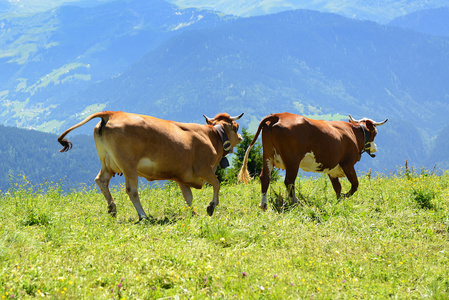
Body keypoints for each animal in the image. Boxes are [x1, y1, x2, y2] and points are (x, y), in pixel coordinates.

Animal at [58, 110, 245, 220]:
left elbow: (188, 197)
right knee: (131, 190)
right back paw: (142, 215)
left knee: (101, 181)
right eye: (236, 127)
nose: (241, 137)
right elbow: (217, 184)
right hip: (128, 166)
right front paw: (211, 206)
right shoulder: (204, 168)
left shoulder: (182, 177)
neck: (211, 136)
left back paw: (112, 209)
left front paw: (193, 213)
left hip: (107, 163)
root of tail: (112, 113)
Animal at [236, 112, 386, 209]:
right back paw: (296, 203)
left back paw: (263, 205)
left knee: (265, 178)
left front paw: (338, 201)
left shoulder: (332, 169)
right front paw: (344, 197)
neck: (353, 133)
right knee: (289, 181)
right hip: (292, 160)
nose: (375, 148)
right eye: (375, 133)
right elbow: (355, 185)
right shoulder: (348, 164)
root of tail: (279, 115)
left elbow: (337, 187)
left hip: (267, 156)